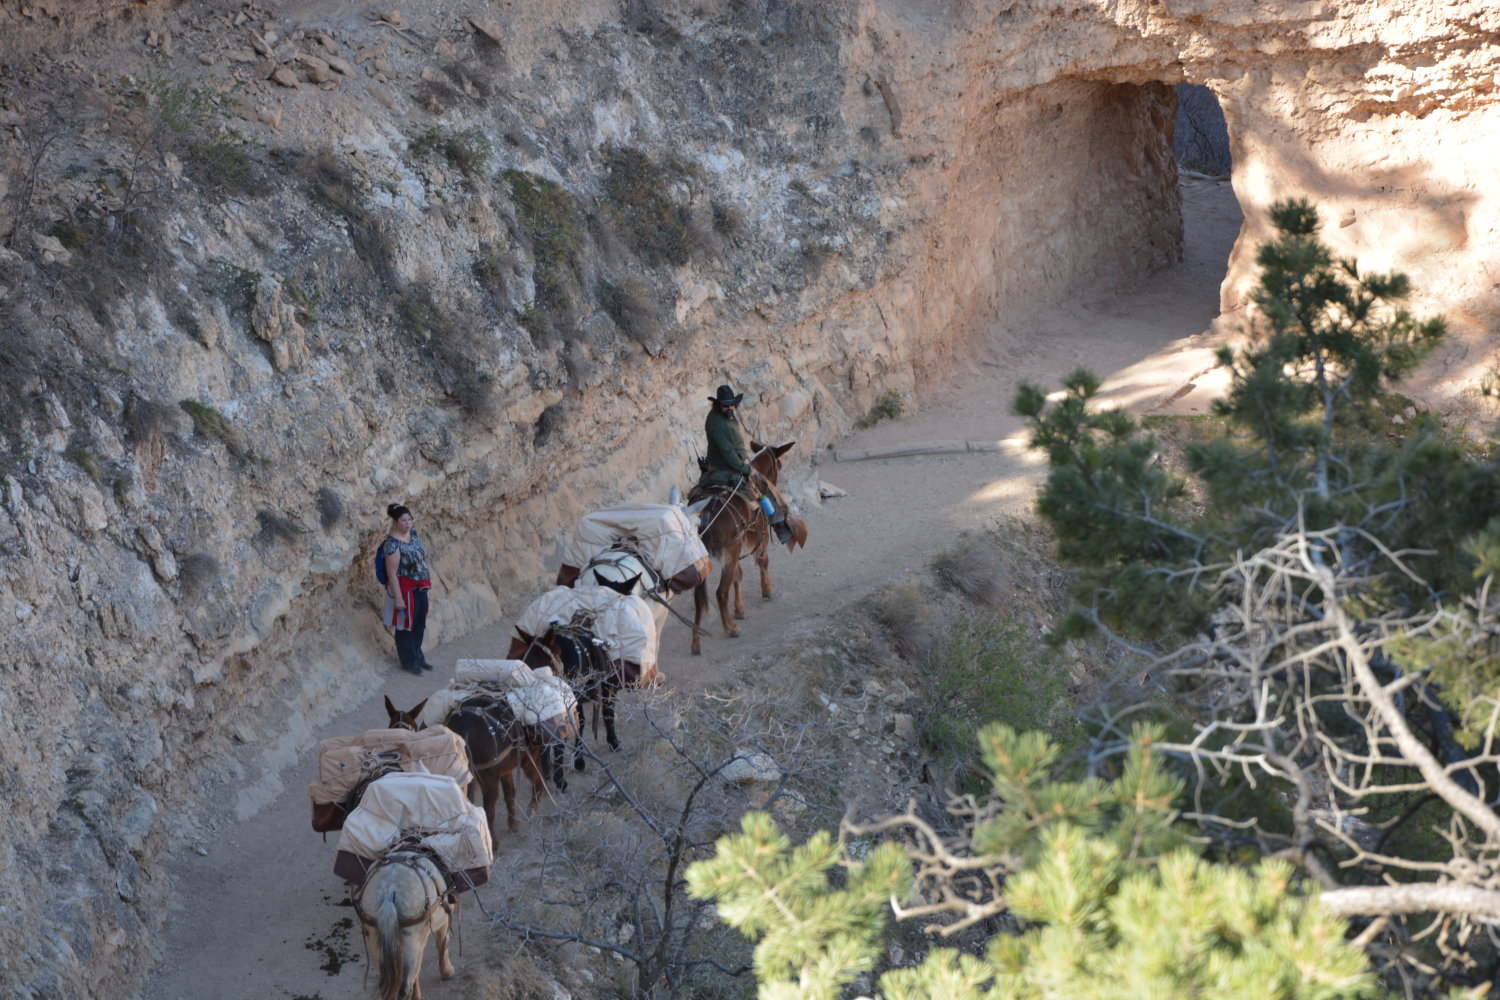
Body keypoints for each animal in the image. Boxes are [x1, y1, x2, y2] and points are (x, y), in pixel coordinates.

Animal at [355, 844, 454, 1000]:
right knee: (405, 986)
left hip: (377, 943)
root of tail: (389, 893)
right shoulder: (444, 921)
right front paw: (447, 972)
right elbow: (443, 944)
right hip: (412, 941)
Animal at [688, 440, 807, 655]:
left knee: (698, 598)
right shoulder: (759, 540)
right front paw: (767, 590)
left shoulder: (736, 552)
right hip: (729, 553)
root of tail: (705, 513)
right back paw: (731, 629)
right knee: (720, 593)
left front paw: (740, 609)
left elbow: (739, 576)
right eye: (779, 466)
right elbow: (763, 562)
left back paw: (696, 641)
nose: (772, 484)